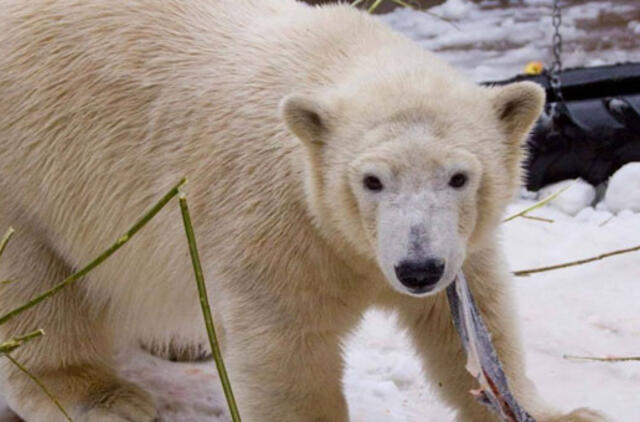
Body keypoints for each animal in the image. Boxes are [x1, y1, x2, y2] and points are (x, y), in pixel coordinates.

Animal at [0, 0, 608, 422]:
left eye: (459, 176)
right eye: (371, 180)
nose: (418, 269)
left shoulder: (455, 242)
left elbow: (471, 319)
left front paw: (564, 413)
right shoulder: (275, 221)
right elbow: (287, 347)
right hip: (30, 176)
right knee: (34, 286)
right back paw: (99, 395)